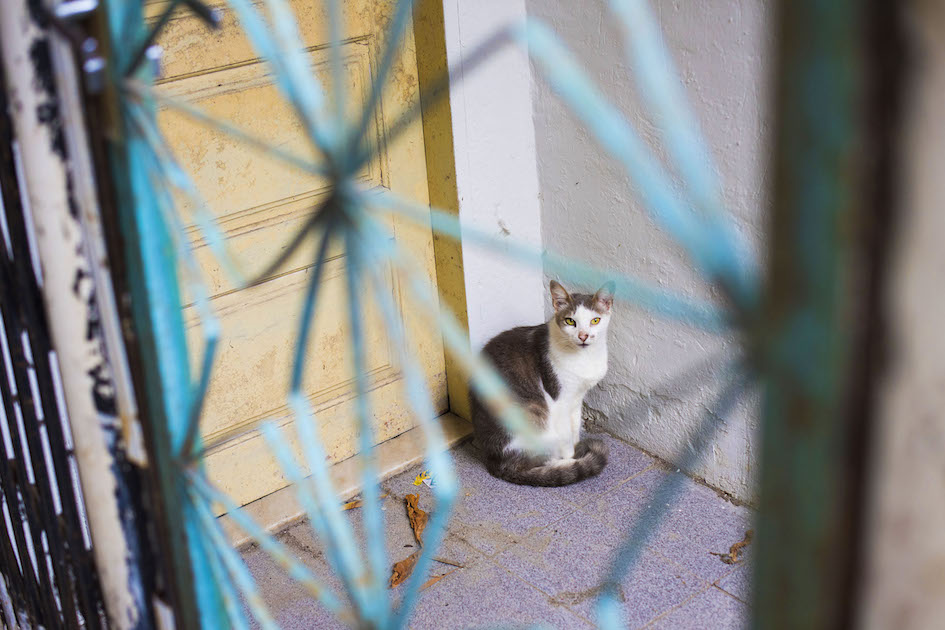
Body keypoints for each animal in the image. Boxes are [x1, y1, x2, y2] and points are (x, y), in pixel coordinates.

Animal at [470, 282, 616, 488]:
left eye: (595, 320)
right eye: (570, 321)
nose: (583, 336)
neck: (585, 357)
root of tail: (495, 461)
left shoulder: (576, 399)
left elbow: (575, 429)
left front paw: (578, 446)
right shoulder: (559, 402)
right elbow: (566, 439)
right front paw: (574, 458)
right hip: (537, 417)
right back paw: (564, 465)